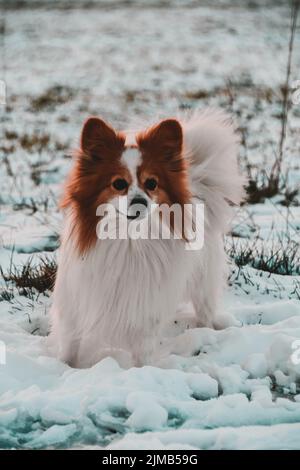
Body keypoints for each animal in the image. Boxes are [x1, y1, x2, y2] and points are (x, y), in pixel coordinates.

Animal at [49, 109, 245, 368]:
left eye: (152, 183)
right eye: (118, 184)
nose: (140, 201)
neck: (129, 240)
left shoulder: (145, 310)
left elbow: (143, 352)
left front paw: (142, 370)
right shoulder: (75, 304)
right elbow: (70, 345)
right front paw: (65, 368)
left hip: (203, 283)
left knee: (205, 311)